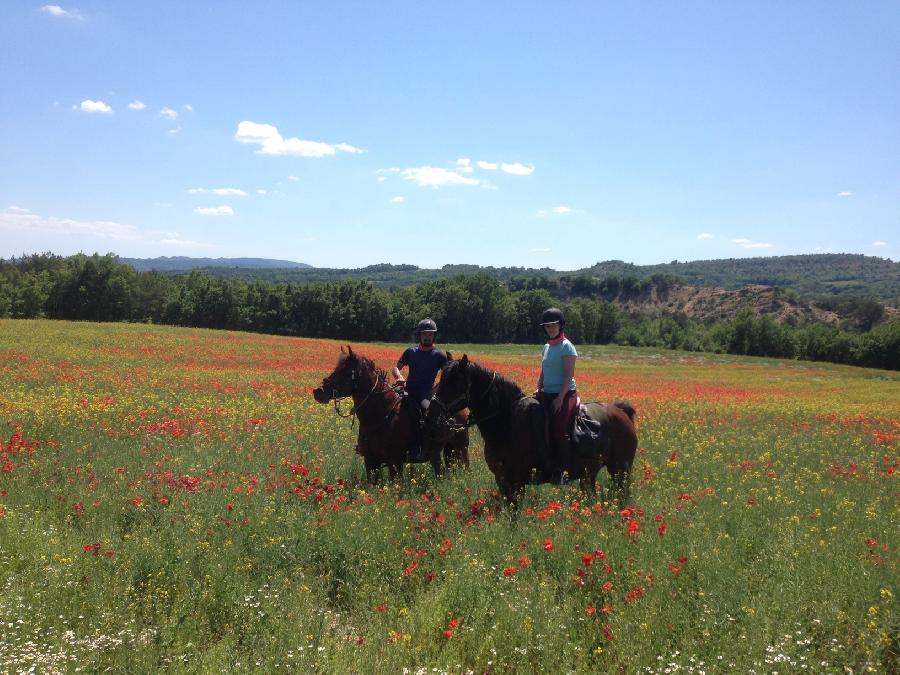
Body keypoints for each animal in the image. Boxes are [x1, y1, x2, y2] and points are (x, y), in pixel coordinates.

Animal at [312, 346, 468, 484]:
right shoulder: (370, 461)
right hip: (441, 451)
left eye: (344, 372)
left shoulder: (395, 461)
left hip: (461, 448)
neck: (380, 415)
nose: (318, 391)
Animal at [424, 356, 640, 504]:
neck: (508, 423)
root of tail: (621, 411)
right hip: (590, 473)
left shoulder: (517, 480)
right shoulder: (502, 479)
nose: (430, 416)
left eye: (455, 383)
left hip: (621, 471)